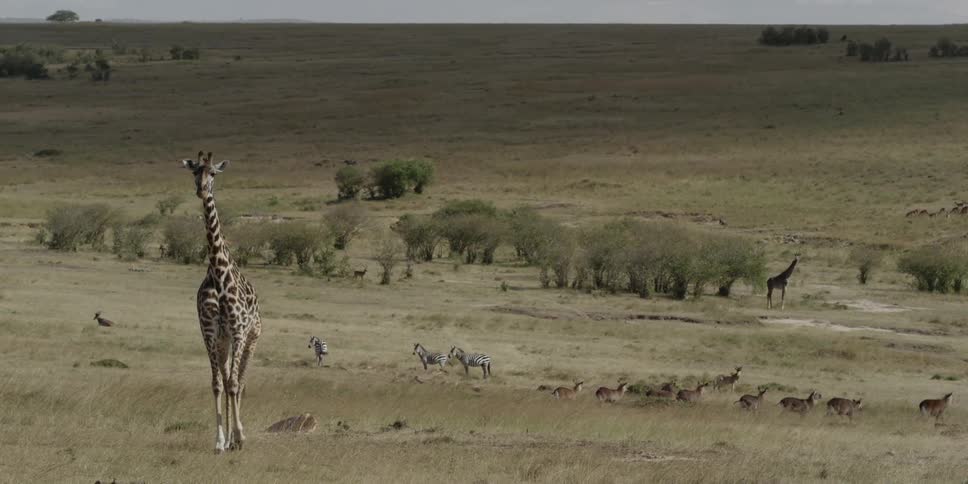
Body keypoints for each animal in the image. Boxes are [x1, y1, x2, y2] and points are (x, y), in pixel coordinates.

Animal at [182, 151, 262, 453]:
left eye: (214, 173)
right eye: (195, 171)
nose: (201, 190)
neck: (218, 274)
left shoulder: (238, 331)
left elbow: (234, 385)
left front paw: (239, 437)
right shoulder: (209, 333)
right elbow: (218, 384)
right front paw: (219, 440)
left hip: (251, 338)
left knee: (241, 381)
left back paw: (239, 436)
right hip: (223, 342)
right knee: (228, 380)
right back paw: (228, 440)